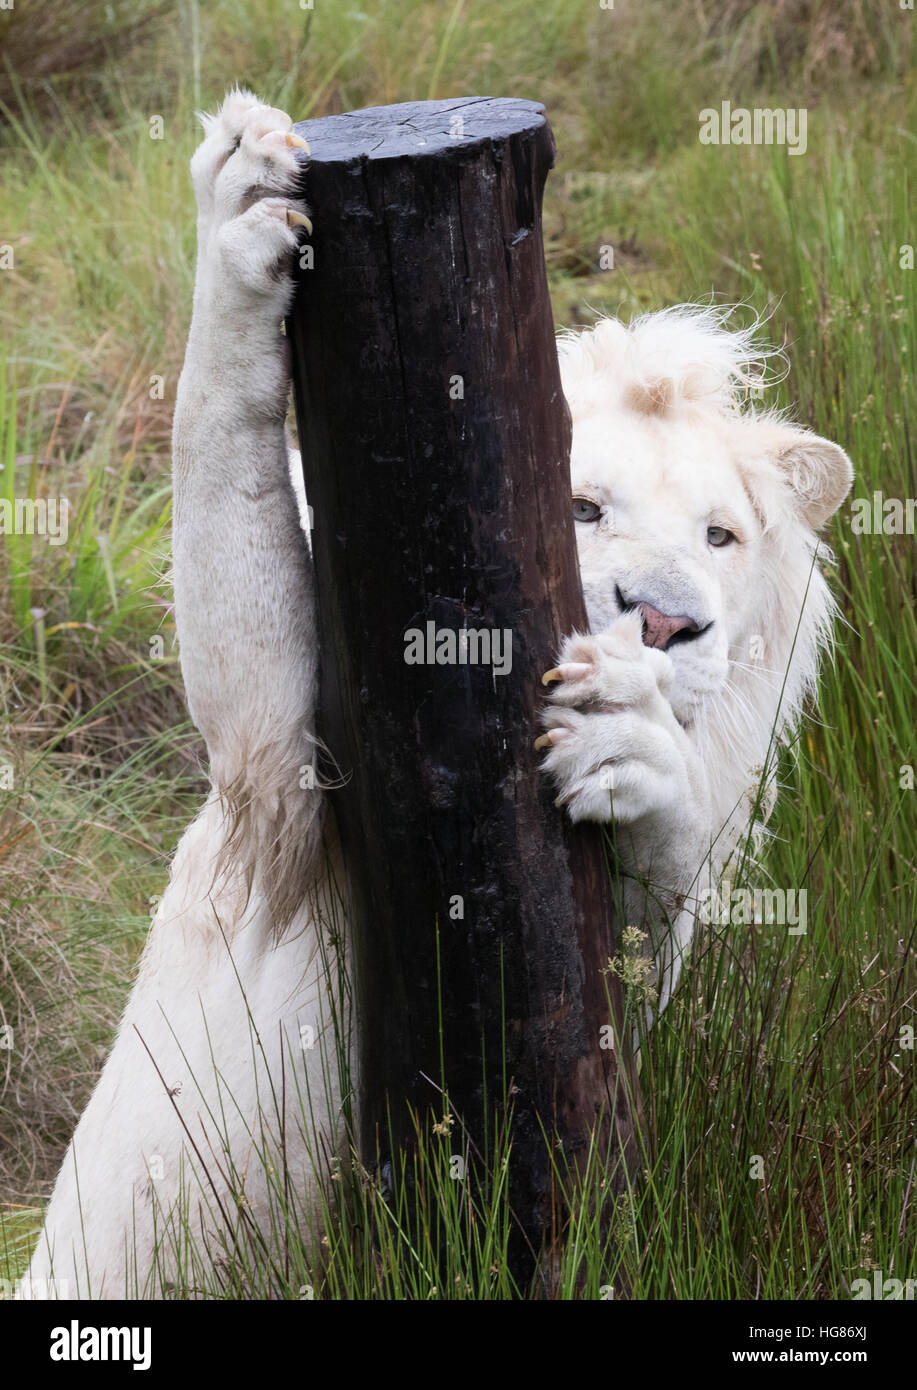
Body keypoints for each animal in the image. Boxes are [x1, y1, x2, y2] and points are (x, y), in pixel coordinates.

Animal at [19, 91, 852, 1298]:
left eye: (718, 537)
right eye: (582, 507)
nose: (660, 622)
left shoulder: (618, 975)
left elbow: (654, 888)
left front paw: (634, 742)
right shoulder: (276, 784)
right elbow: (219, 453)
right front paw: (243, 188)